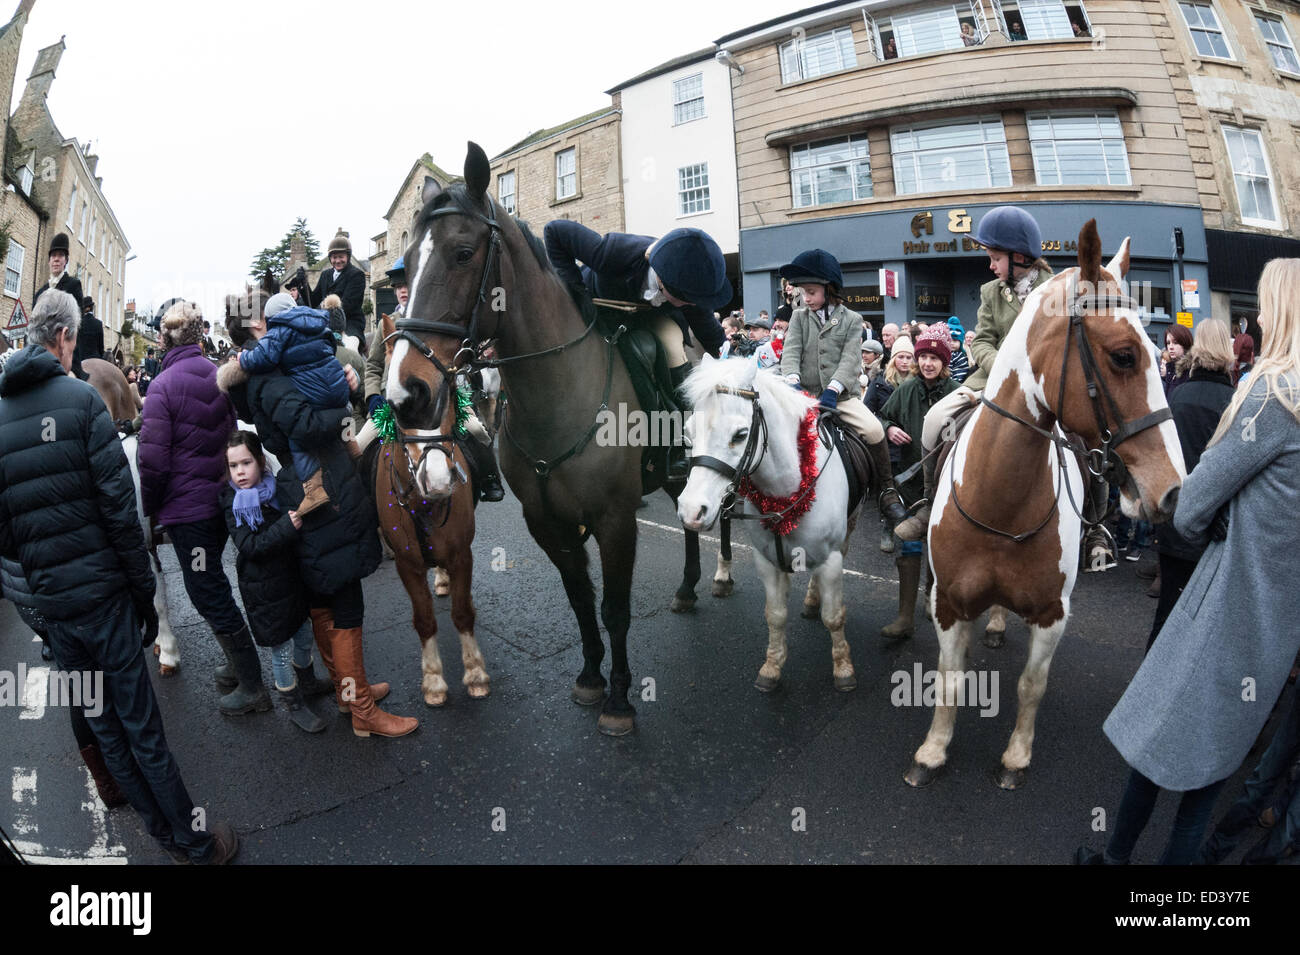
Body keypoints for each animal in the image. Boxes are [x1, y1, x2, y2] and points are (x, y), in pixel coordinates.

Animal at [390, 143, 712, 738]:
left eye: (462, 253)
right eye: (410, 261)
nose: (407, 390)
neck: (557, 395)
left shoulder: (614, 520)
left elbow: (614, 610)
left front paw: (620, 699)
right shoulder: (545, 521)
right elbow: (580, 600)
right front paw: (590, 676)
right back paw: (689, 585)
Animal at [676, 356, 857, 691]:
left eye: (739, 434)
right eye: (688, 432)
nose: (691, 511)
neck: (784, 493)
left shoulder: (831, 560)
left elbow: (834, 616)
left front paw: (843, 669)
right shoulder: (766, 561)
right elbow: (775, 615)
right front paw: (772, 668)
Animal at [909, 222, 1185, 789]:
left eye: (1159, 351)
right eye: (1124, 355)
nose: (1173, 489)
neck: (999, 502)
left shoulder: (1053, 614)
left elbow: (1030, 687)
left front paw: (1015, 757)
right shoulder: (948, 605)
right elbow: (949, 680)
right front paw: (932, 752)